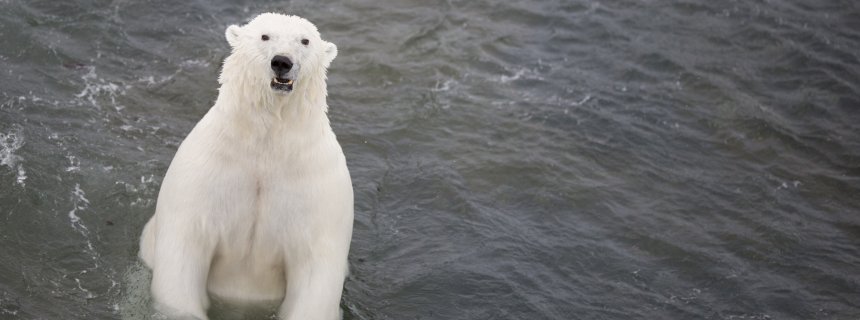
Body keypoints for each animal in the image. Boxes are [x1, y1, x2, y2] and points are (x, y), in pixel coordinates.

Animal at [139, 12, 354, 320]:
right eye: (265, 36)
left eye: (305, 40)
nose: (282, 62)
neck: (264, 147)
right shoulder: (204, 176)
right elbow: (184, 254)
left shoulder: (318, 191)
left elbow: (315, 271)